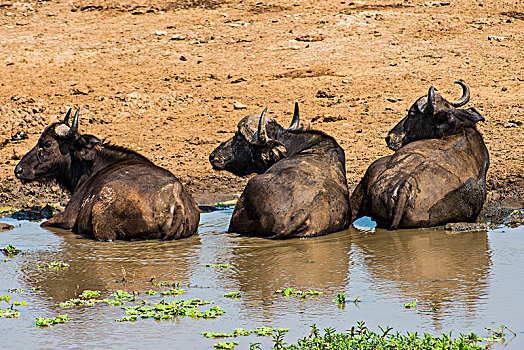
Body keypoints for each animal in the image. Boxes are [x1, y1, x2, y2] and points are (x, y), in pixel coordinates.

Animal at [14, 108, 200, 241]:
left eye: (46, 144)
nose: (19, 170)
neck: (91, 167)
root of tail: (176, 199)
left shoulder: (67, 218)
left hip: (102, 226)